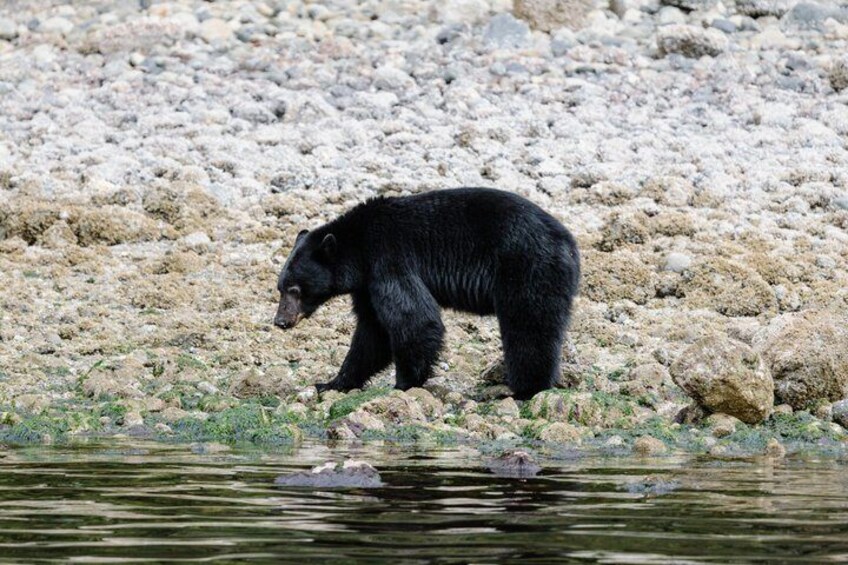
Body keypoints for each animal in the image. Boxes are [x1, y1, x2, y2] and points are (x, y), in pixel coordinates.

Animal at [274, 187, 580, 400]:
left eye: (295, 289)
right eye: (280, 288)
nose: (280, 321)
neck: (359, 247)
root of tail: (569, 243)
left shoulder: (389, 259)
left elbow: (413, 318)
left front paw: (404, 384)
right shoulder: (367, 284)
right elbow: (372, 333)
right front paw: (332, 383)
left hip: (526, 267)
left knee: (528, 324)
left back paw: (524, 389)